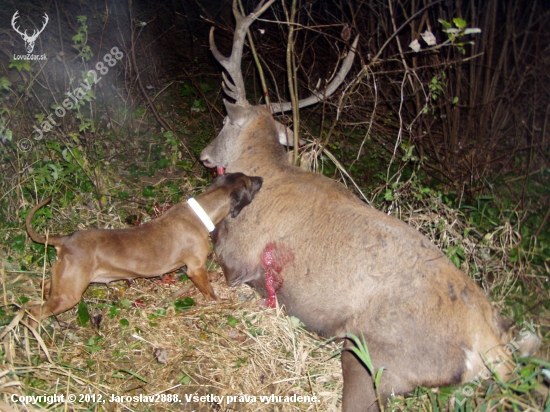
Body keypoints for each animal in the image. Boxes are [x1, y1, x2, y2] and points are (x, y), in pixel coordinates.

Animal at [22, 172, 262, 326]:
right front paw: (220, 304)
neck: (199, 213)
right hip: (69, 296)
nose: (261, 178)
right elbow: (210, 292)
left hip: (62, 283)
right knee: (34, 313)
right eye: (250, 183)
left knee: (45, 285)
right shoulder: (195, 269)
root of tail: (65, 240)